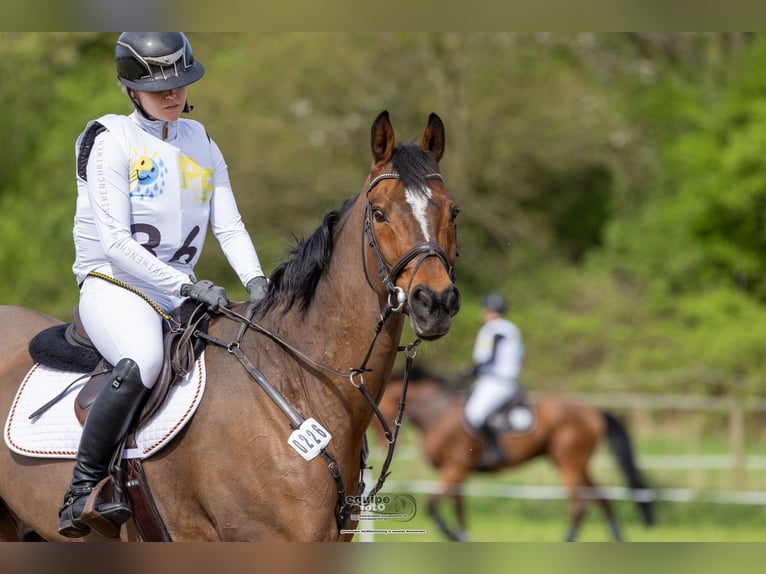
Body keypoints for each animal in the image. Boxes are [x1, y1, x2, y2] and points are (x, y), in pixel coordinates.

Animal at [373, 367, 655, 541]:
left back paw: (568, 539)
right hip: (576, 464)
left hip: (569, 465)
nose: (385, 445)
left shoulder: (454, 467)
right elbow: (458, 507)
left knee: (579, 504)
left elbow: (433, 505)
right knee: (601, 498)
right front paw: (462, 537)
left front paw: (452, 535)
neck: (436, 412)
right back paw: (616, 537)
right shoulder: (458, 472)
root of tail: (593, 411)